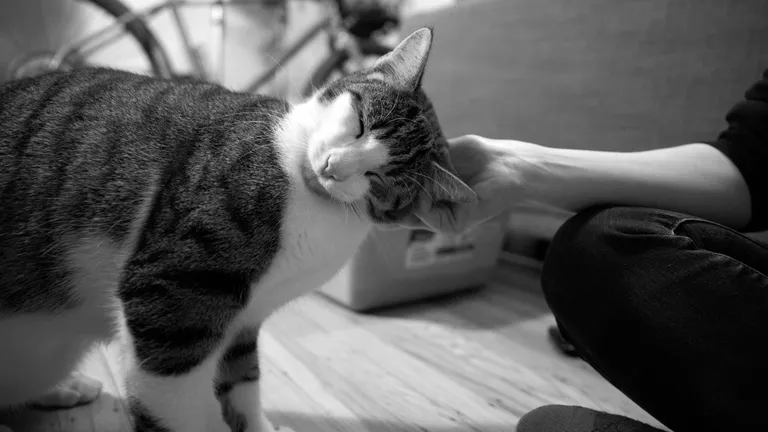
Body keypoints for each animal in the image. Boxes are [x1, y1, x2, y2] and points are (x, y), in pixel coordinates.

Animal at [0, 27, 476, 432]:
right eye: (359, 121)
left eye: (379, 178)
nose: (332, 167)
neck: (305, 193)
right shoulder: (176, 292)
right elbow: (177, 400)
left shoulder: (245, 315)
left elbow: (243, 374)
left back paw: (64, 389)